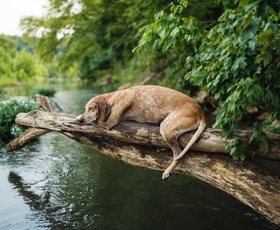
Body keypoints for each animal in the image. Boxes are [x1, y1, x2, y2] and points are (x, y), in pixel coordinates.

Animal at [76, 85, 206, 180]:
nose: (82, 120)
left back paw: (167, 172)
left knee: (179, 155)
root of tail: (201, 111)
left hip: (166, 127)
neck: (113, 98)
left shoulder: (109, 122)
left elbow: (96, 120)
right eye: (85, 108)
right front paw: (78, 117)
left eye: (91, 108)